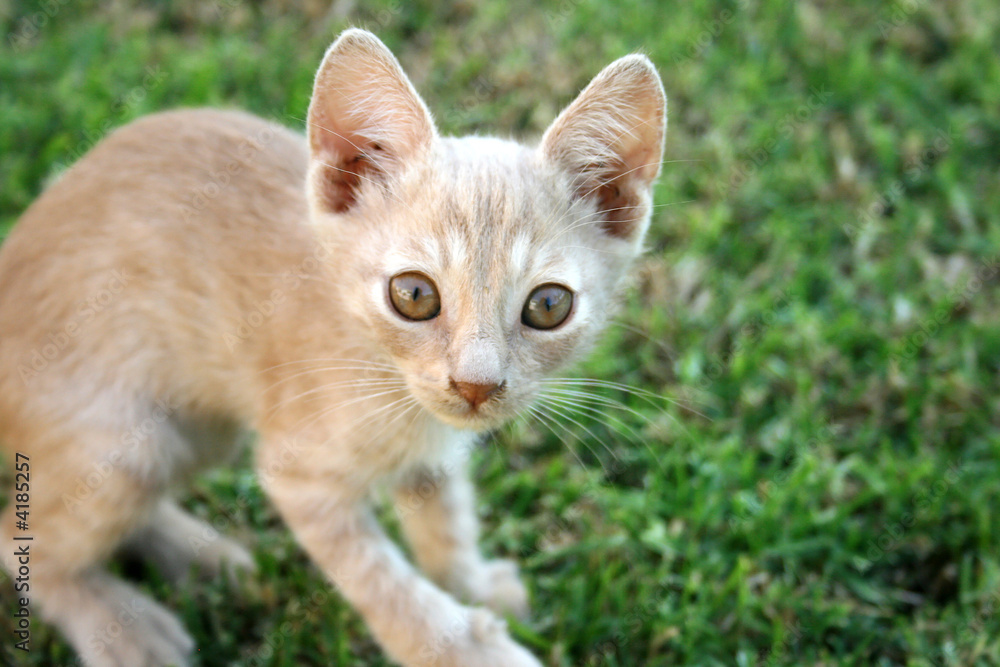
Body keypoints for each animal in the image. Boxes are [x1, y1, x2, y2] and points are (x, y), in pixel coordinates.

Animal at [0, 28, 665, 667]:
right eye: (414, 294)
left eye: (548, 306)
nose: (476, 386)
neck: (382, 373)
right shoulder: (301, 476)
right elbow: (387, 587)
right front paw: (467, 650)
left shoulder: (431, 457)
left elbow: (445, 525)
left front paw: (471, 584)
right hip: (126, 443)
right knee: (20, 538)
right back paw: (123, 626)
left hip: (195, 434)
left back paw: (199, 559)